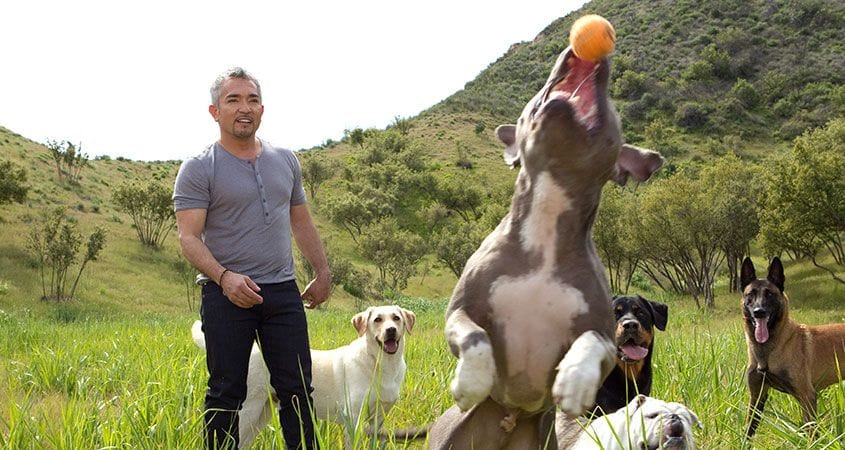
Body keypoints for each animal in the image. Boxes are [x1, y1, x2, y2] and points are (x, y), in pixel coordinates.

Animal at [432, 43, 664, 450]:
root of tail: (510, 417)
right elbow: (475, 337)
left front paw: (574, 380)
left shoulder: (604, 335)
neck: (545, 223)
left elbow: (592, 343)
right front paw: (469, 382)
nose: (580, 52)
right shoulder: (461, 310)